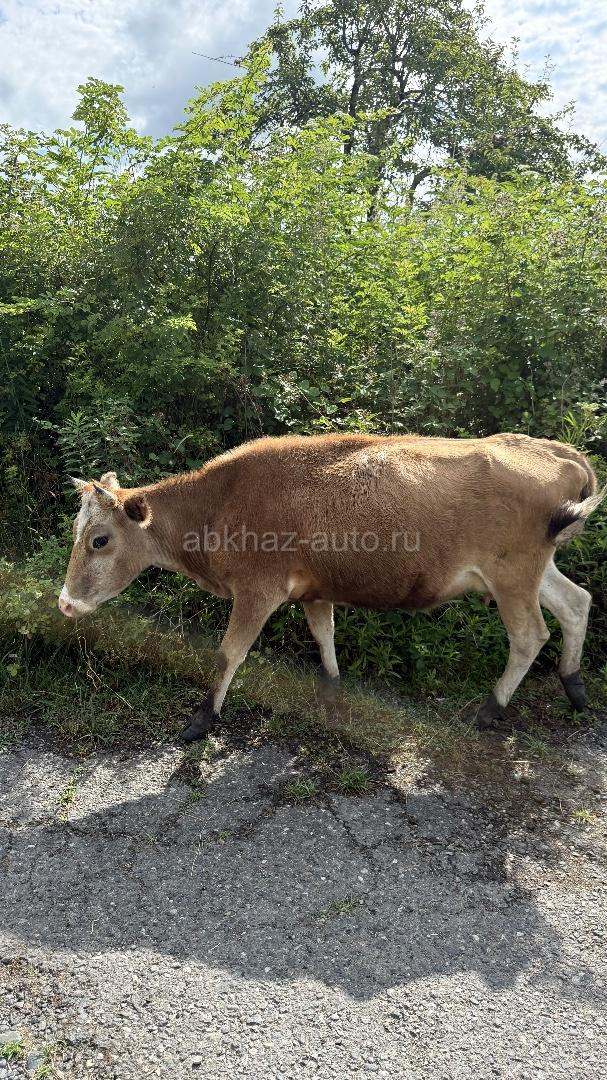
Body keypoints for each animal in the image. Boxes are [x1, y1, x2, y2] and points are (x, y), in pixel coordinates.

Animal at [58, 432, 606, 740]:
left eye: (100, 539)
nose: (64, 603)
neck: (222, 501)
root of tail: (560, 452)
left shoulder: (257, 590)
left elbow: (228, 654)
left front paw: (201, 718)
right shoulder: (315, 590)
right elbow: (325, 638)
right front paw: (334, 694)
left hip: (511, 574)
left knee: (530, 634)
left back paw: (491, 710)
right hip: (535, 568)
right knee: (576, 603)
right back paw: (574, 686)